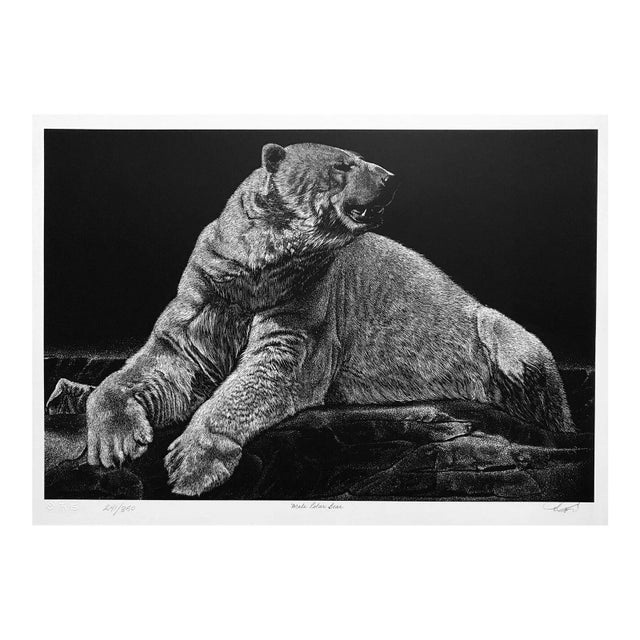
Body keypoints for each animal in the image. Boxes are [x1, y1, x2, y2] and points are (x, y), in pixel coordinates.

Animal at [86, 142, 574, 496]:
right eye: (342, 164)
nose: (391, 178)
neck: (260, 262)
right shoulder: (212, 286)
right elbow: (166, 361)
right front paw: (115, 441)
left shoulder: (309, 296)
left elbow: (269, 372)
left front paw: (189, 464)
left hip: (490, 325)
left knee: (526, 365)